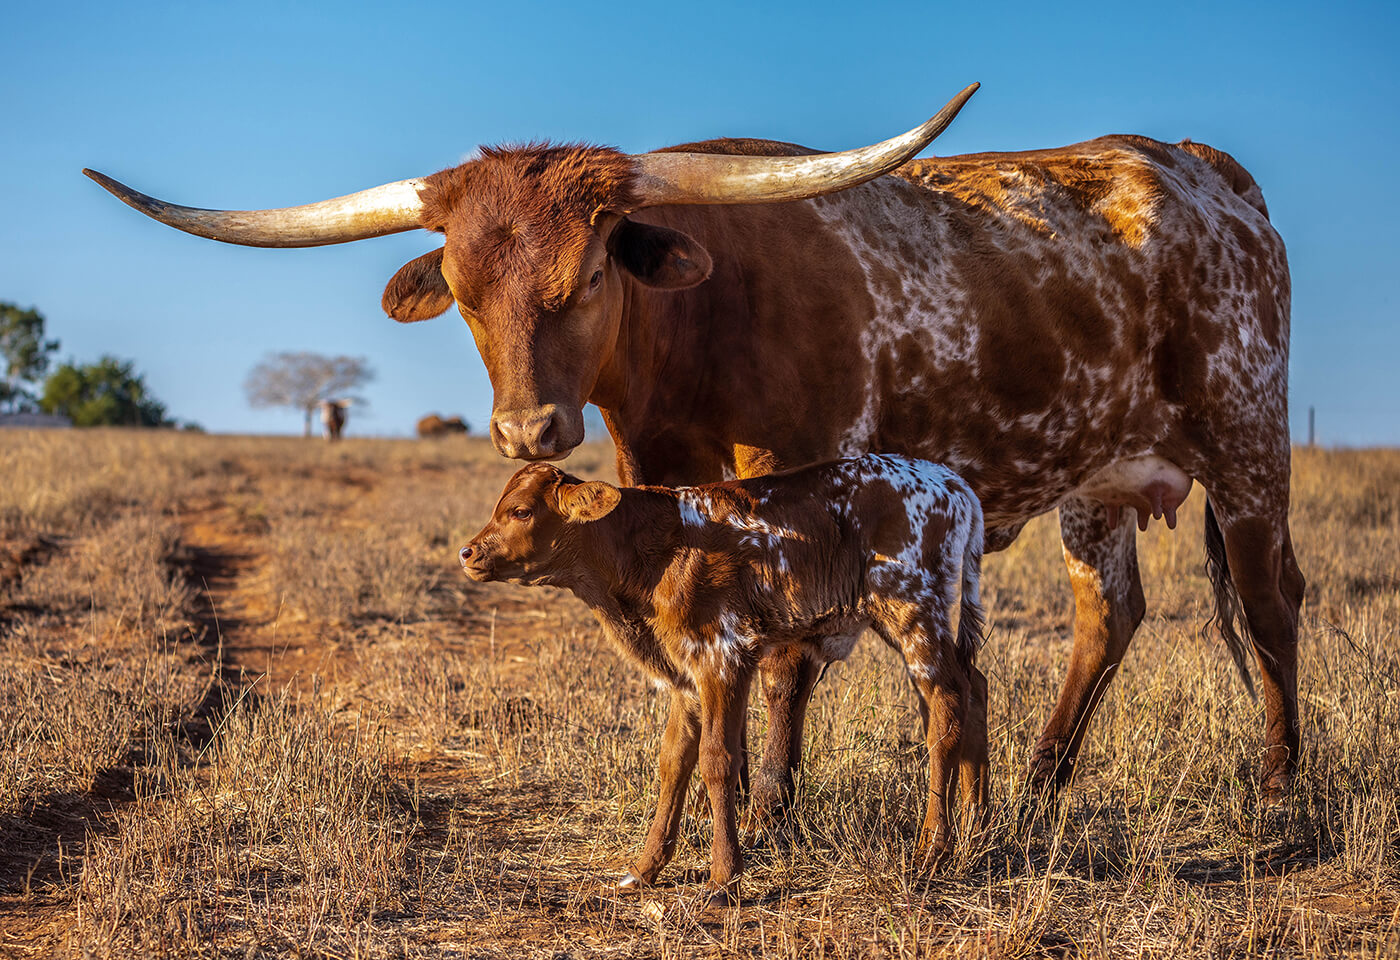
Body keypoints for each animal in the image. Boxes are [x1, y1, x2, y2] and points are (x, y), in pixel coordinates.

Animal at [84, 82, 1305, 821]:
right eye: (467, 295)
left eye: (587, 279)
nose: (529, 432)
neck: (694, 341)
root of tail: (1194, 166)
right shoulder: (663, 492)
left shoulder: (806, 491)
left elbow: (788, 659)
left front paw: (771, 809)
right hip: (1094, 478)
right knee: (1108, 616)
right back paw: (1039, 790)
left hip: (1247, 441)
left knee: (1269, 601)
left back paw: (1281, 795)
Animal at [461, 455, 988, 896]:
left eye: (522, 511)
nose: (468, 552)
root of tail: (953, 482)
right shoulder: (686, 674)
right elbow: (673, 761)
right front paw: (644, 869)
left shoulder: (723, 657)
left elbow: (718, 760)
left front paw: (723, 878)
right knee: (972, 686)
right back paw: (975, 828)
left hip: (912, 608)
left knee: (945, 709)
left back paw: (932, 851)